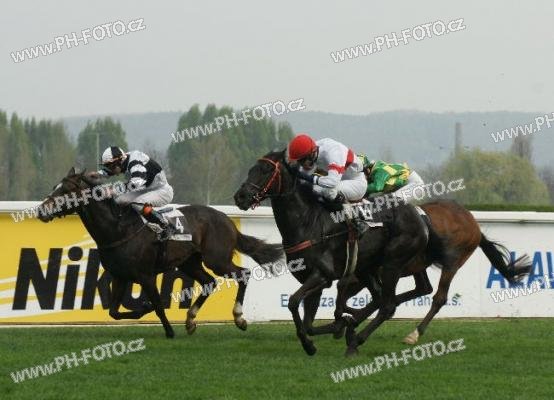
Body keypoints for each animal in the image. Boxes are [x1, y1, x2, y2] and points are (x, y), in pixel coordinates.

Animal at [37, 168, 283, 338]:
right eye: (55, 186)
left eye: (66, 190)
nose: (41, 210)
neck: (117, 229)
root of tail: (227, 221)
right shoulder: (120, 276)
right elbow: (114, 312)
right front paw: (144, 309)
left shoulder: (145, 275)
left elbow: (157, 303)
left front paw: (168, 331)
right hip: (189, 262)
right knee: (209, 282)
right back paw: (190, 320)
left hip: (217, 259)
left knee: (243, 274)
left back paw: (239, 318)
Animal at [234, 150, 532, 356]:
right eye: (250, 169)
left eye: (264, 171)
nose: (240, 197)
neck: (310, 222)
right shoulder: (316, 279)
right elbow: (308, 318)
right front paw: (334, 328)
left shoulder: (324, 275)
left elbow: (298, 303)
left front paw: (330, 333)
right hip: (384, 266)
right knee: (405, 294)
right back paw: (355, 330)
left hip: (413, 263)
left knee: (414, 301)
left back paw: (388, 336)